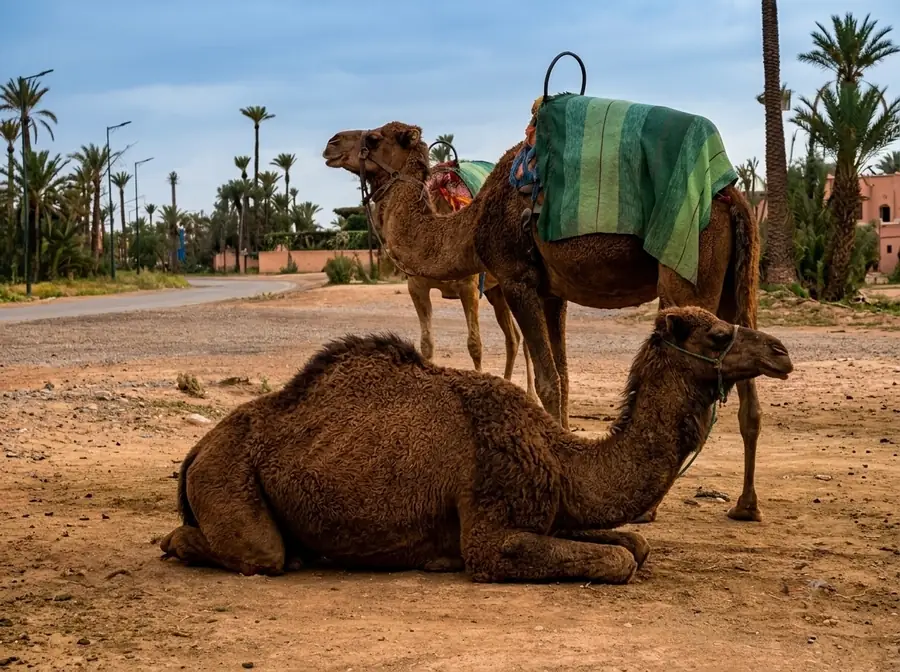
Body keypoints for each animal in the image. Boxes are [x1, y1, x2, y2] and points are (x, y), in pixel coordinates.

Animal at [159, 306, 793, 582]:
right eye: (718, 333)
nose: (781, 351)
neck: (560, 455)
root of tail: (195, 452)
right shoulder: (492, 528)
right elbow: (617, 560)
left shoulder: (549, 511)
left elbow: (634, 543)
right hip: (228, 477)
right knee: (257, 553)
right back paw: (184, 543)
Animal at [321, 120, 767, 524]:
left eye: (374, 136)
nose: (331, 143)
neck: (472, 223)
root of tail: (733, 199)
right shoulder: (554, 293)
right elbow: (565, 378)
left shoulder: (516, 277)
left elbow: (549, 381)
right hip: (737, 286)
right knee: (748, 382)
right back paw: (746, 505)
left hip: (688, 275)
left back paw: (651, 509)